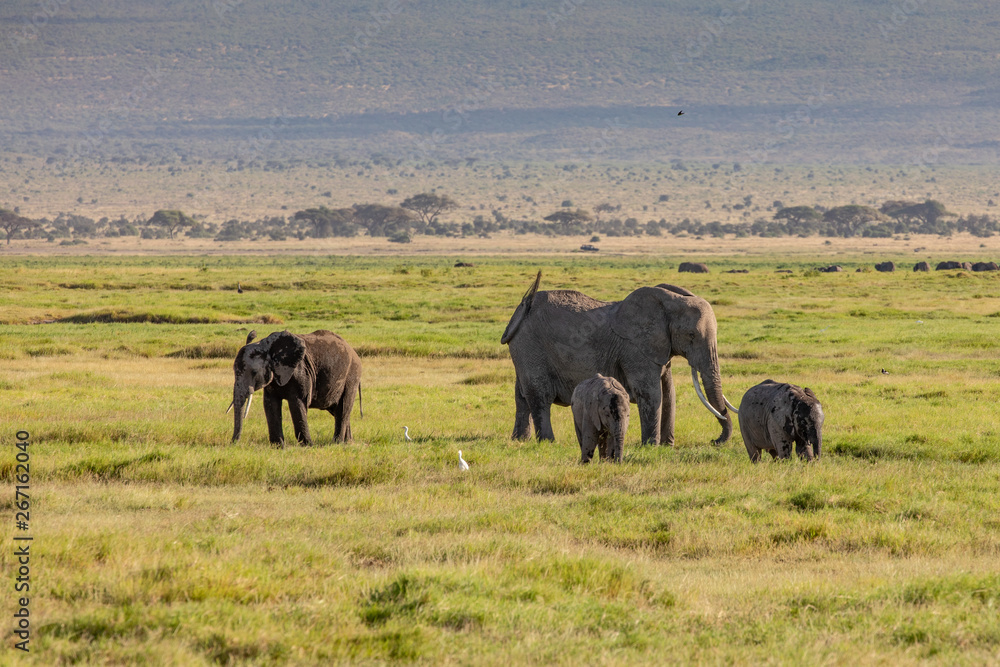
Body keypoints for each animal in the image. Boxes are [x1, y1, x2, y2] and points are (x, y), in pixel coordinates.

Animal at [230, 330, 364, 446]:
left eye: (254, 372)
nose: (233, 444)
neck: (268, 347)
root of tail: (353, 351)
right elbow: (270, 404)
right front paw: (278, 446)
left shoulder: (301, 373)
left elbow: (297, 403)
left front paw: (309, 446)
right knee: (337, 410)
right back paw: (348, 442)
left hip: (351, 376)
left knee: (343, 408)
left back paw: (337, 443)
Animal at [500, 272, 736, 448]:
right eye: (691, 335)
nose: (714, 441)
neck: (669, 302)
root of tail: (522, 308)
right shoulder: (636, 348)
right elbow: (651, 393)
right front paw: (650, 447)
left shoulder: (659, 348)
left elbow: (669, 392)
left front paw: (666, 446)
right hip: (530, 346)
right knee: (539, 396)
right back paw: (548, 442)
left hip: (523, 349)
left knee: (521, 395)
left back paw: (520, 440)